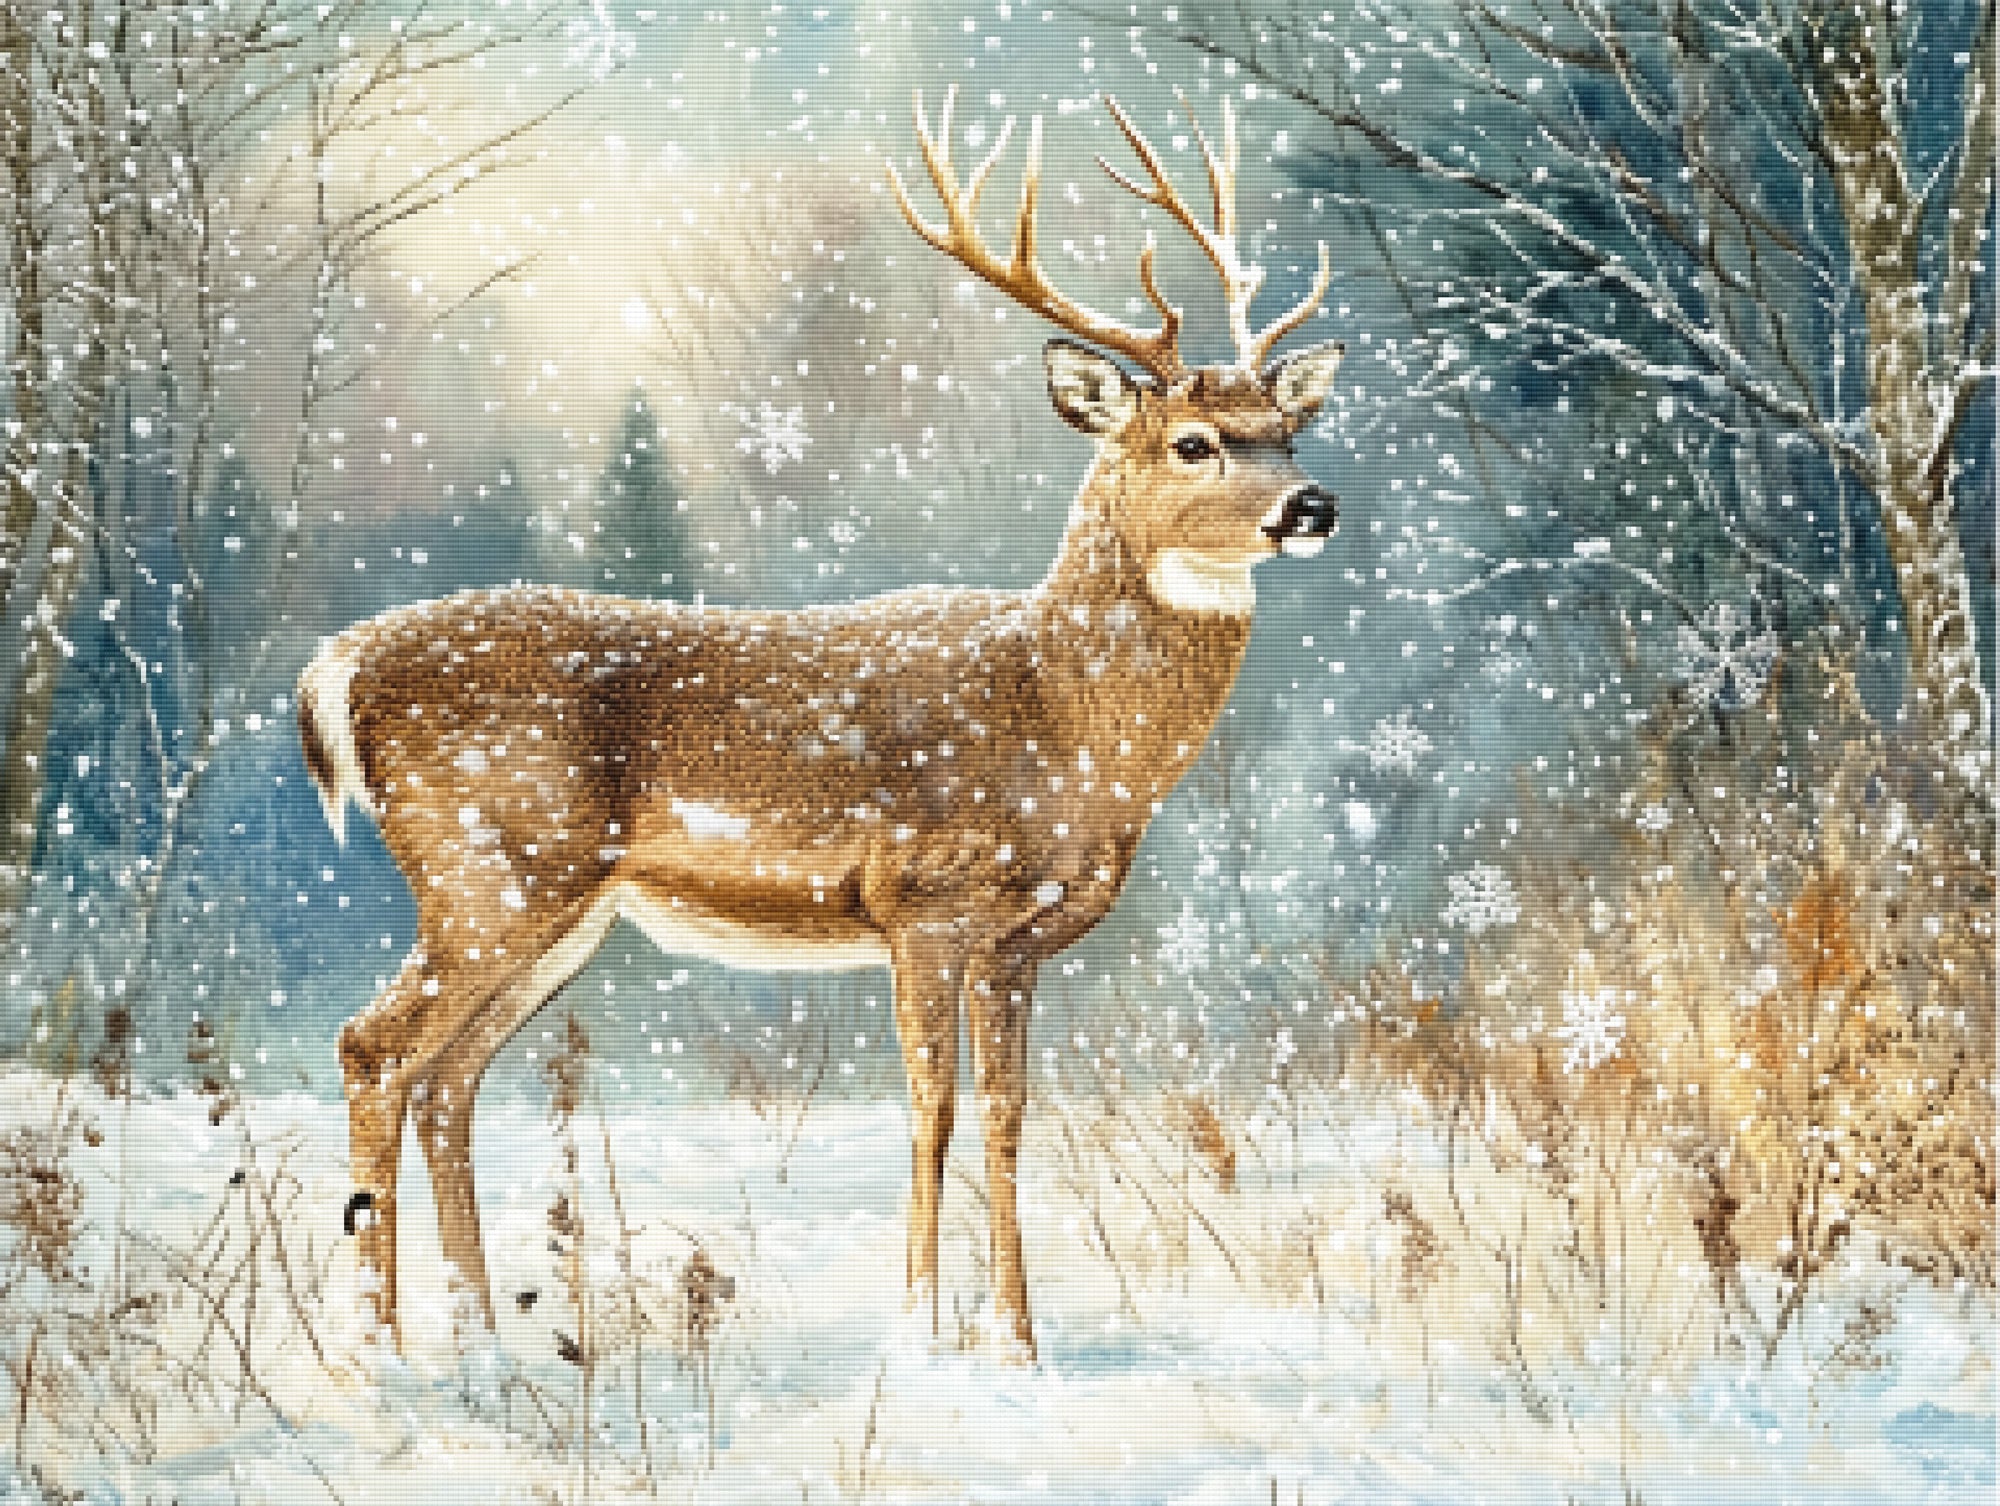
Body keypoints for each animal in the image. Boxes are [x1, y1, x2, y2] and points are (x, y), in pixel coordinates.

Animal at [296, 88, 1344, 1361]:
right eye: (1193, 443)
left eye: (1285, 432)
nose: (1312, 504)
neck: (1063, 724)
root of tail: (341, 666)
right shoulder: (921, 900)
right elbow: (931, 1106)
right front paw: (921, 1331)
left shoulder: (1018, 942)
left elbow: (1007, 1114)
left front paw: (1018, 1341)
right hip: (486, 868)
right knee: (373, 1049)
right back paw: (376, 1349)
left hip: (555, 909)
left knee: (447, 1080)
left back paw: (483, 1344)